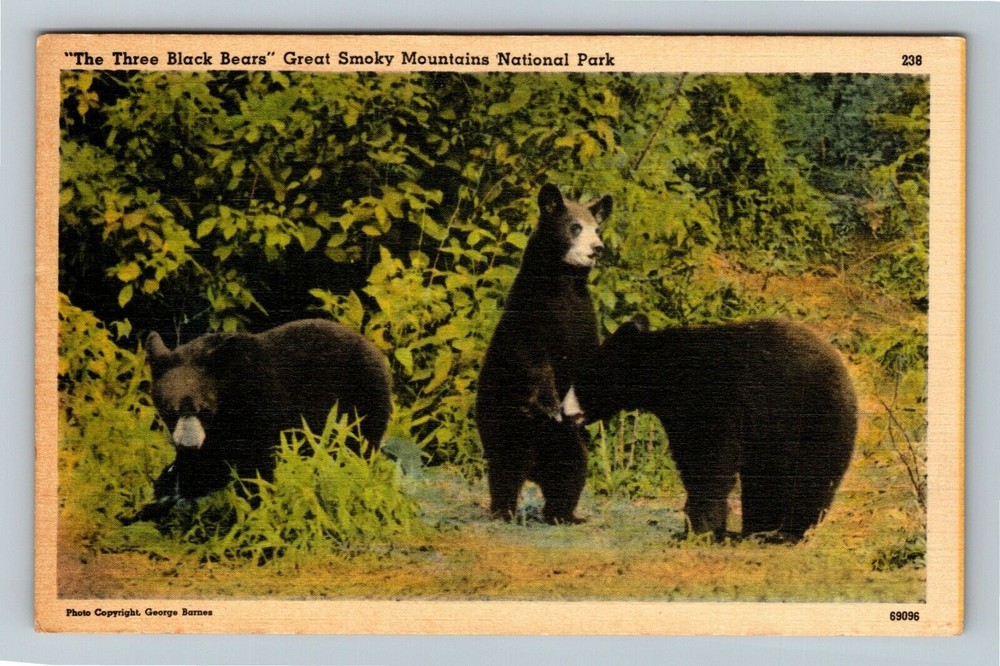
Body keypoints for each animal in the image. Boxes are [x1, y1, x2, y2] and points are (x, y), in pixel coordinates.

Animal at [128, 319, 392, 523]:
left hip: (358, 406)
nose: (188, 445)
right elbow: (206, 465)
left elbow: (253, 467)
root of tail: (377, 352)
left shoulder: (258, 409)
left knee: (355, 452)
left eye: (204, 410)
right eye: (171, 410)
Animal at [476, 183, 612, 523]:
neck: (564, 283)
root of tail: (534, 469)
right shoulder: (532, 309)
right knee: (506, 468)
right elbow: (534, 356)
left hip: (563, 440)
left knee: (571, 470)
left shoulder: (584, 317)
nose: (597, 248)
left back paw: (564, 515)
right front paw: (551, 403)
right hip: (505, 422)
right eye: (575, 227)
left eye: (597, 228)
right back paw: (504, 511)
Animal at [566, 315, 857, 542]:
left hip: (809, 417)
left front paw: (697, 529)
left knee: (806, 475)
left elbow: (706, 459)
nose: (564, 411)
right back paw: (758, 530)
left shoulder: (709, 399)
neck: (668, 375)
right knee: (765, 478)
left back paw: (785, 533)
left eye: (585, 377)